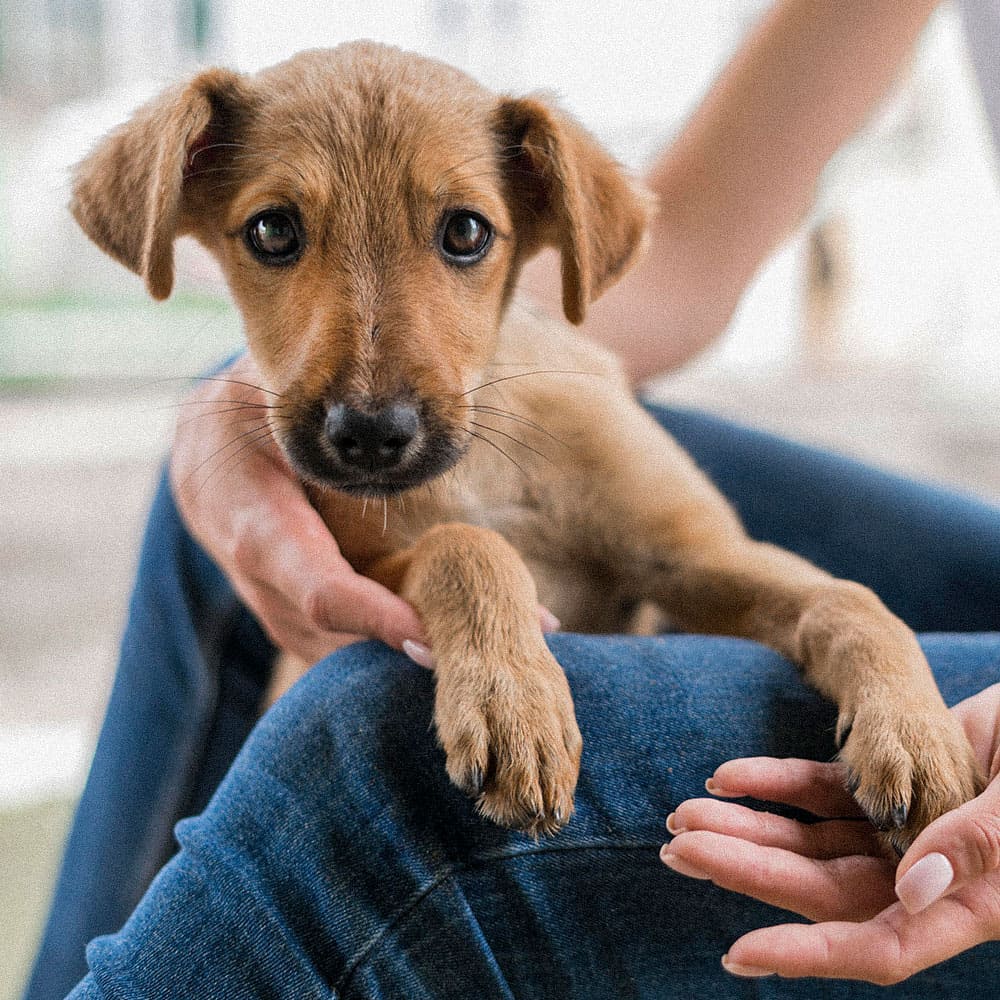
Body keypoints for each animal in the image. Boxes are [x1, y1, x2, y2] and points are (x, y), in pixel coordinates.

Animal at [74, 43, 980, 848]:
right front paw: (514, 704)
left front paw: (918, 732)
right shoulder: (358, 573)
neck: (487, 459)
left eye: (466, 232)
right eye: (271, 232)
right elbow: (465, 545)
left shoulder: (694, 558)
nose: (369, 436)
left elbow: (850, 601)